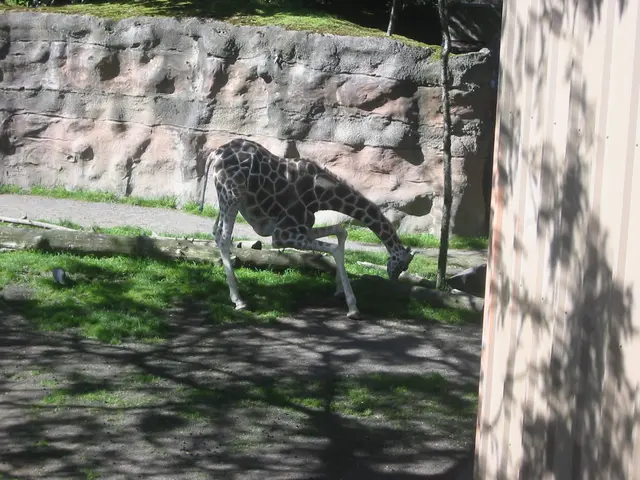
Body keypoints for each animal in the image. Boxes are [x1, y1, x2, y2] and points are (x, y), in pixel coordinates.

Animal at [200, 138, 415, 319]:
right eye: (403, 265)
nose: (392, 282)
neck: (321, 194)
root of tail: (215, 154)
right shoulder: (282, 234)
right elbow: (334, 249)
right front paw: (353, 307)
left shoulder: (303, 228)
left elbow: (341, 232)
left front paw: (339, 291)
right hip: (232, 194)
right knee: (224, 237)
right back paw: (239, 300)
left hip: (227, 199)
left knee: (215, 232)